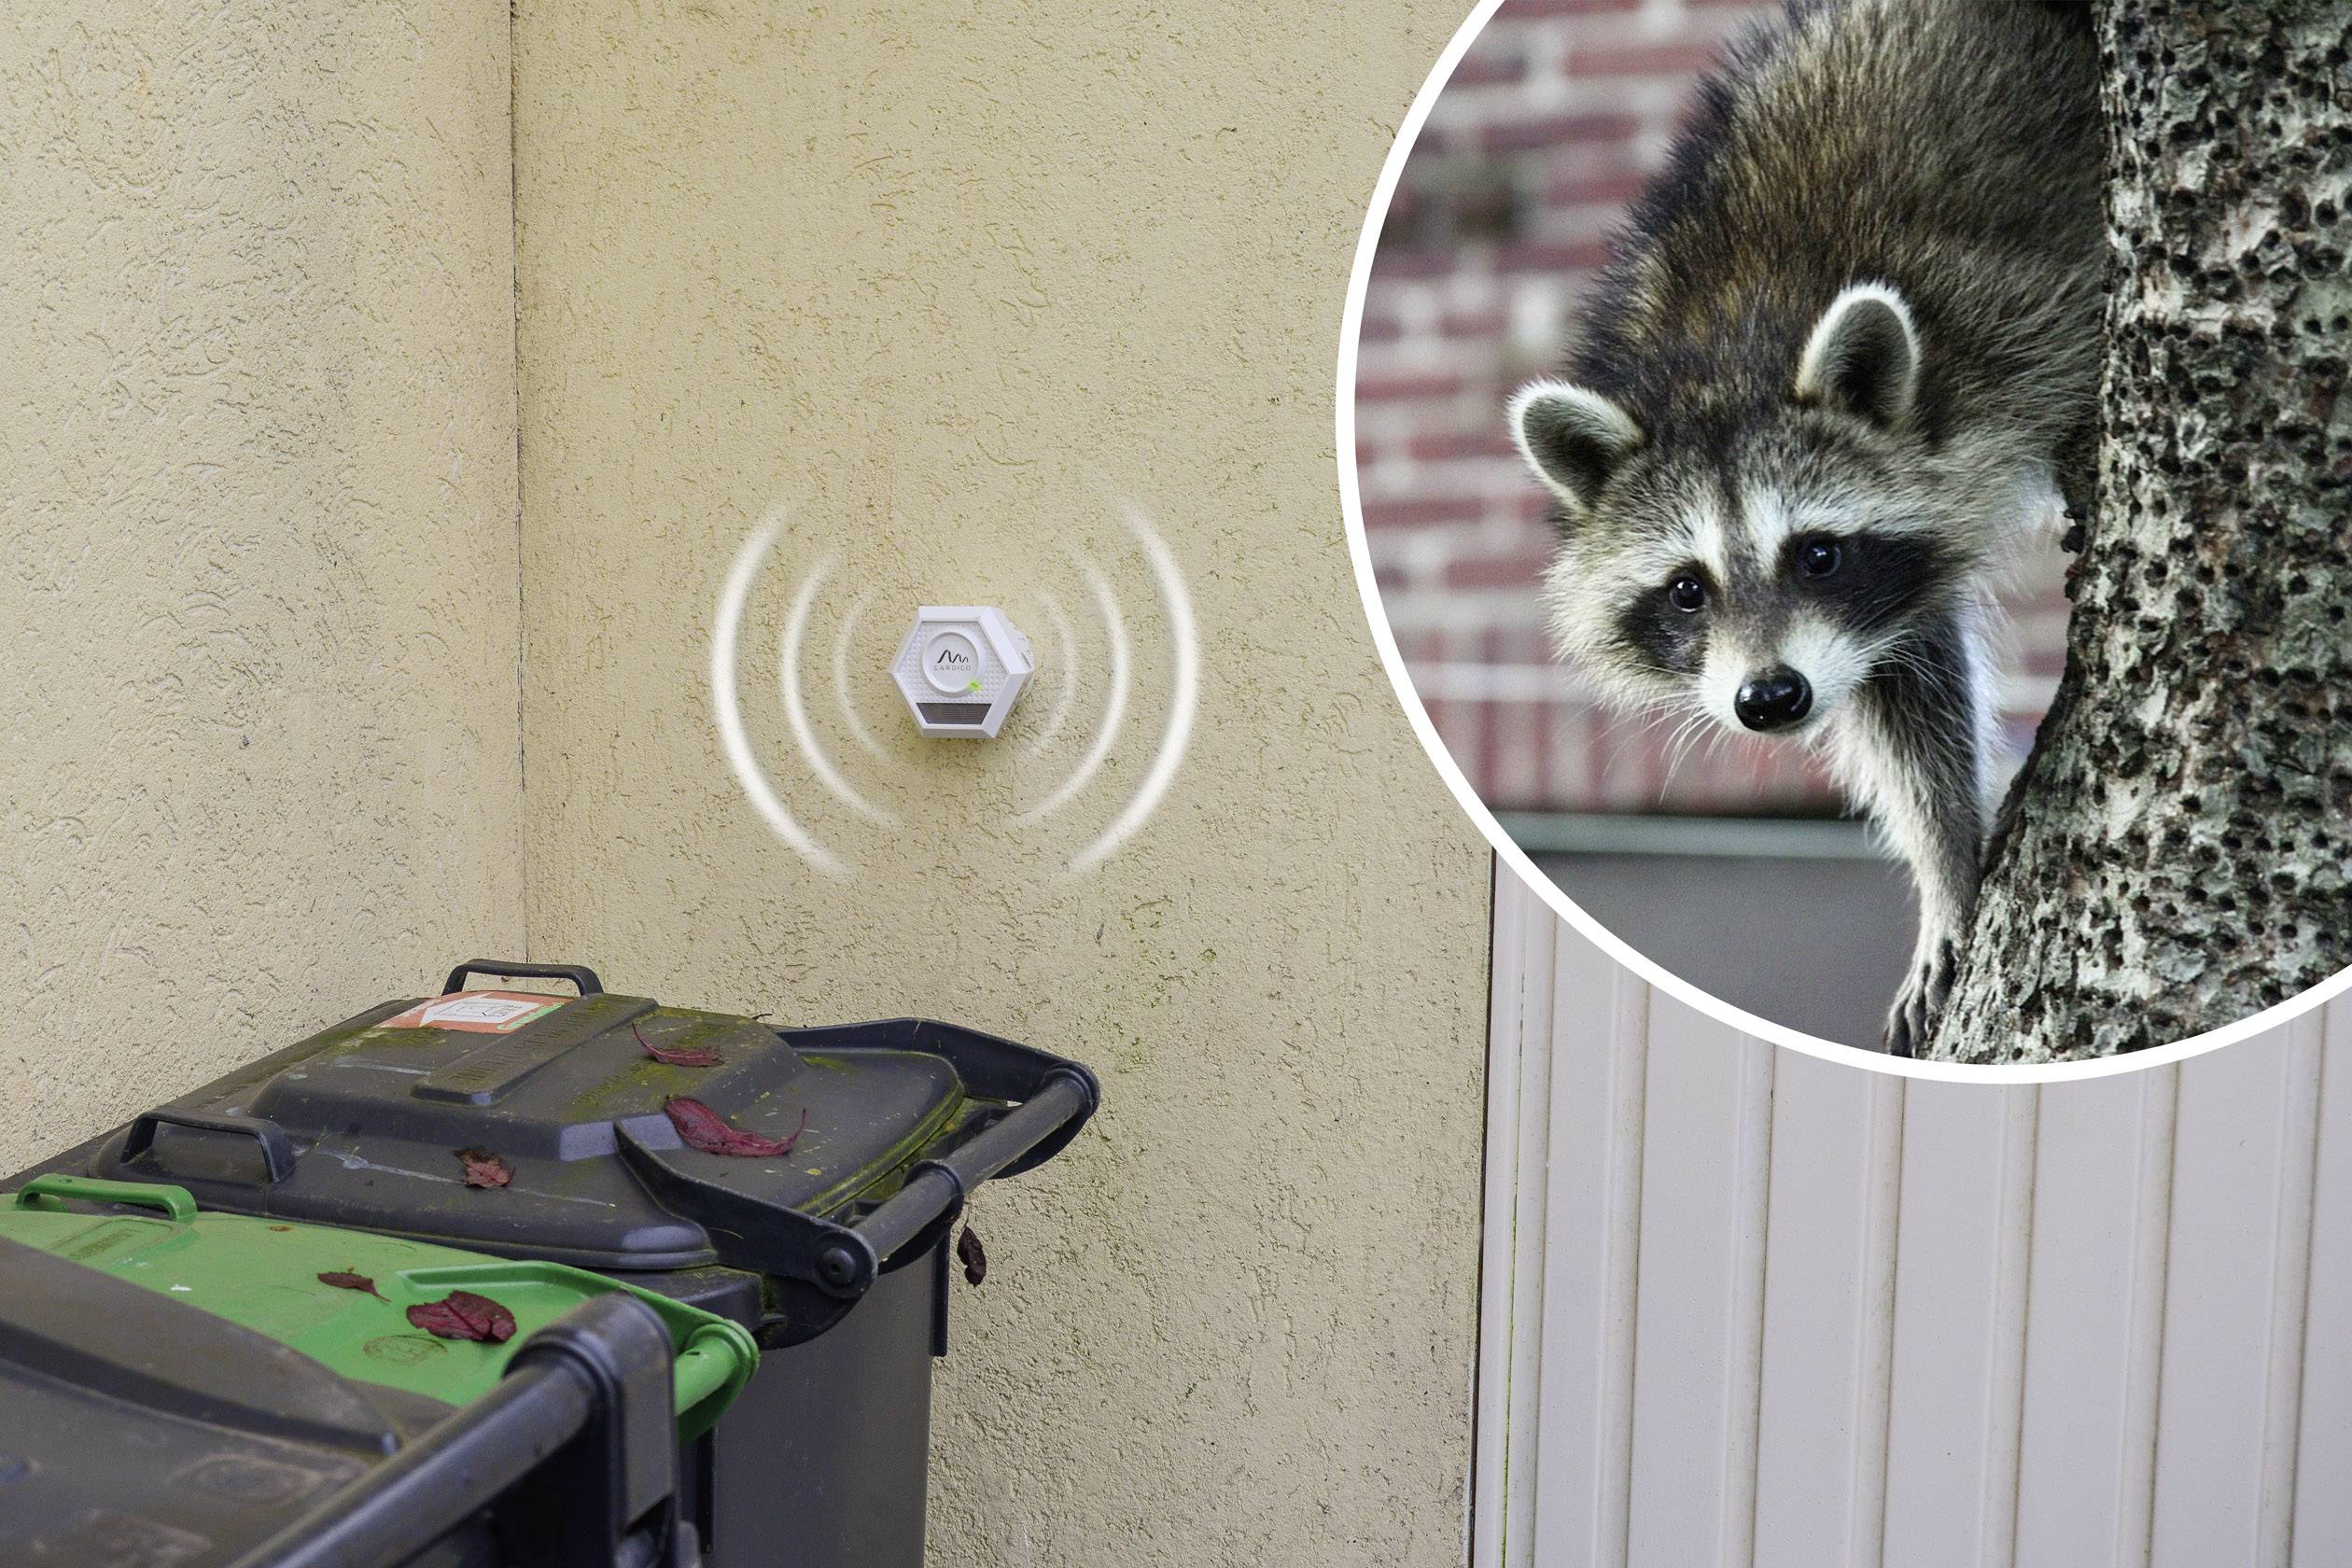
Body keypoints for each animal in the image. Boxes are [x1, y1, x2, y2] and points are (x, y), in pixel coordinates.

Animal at [1506, 0, 2100, 1056]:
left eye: (1817, 554)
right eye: (1686, 588)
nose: (1771, 698)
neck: (1727, 356)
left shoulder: (2014, 317)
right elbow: (1904, 696)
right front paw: (1948, 864)